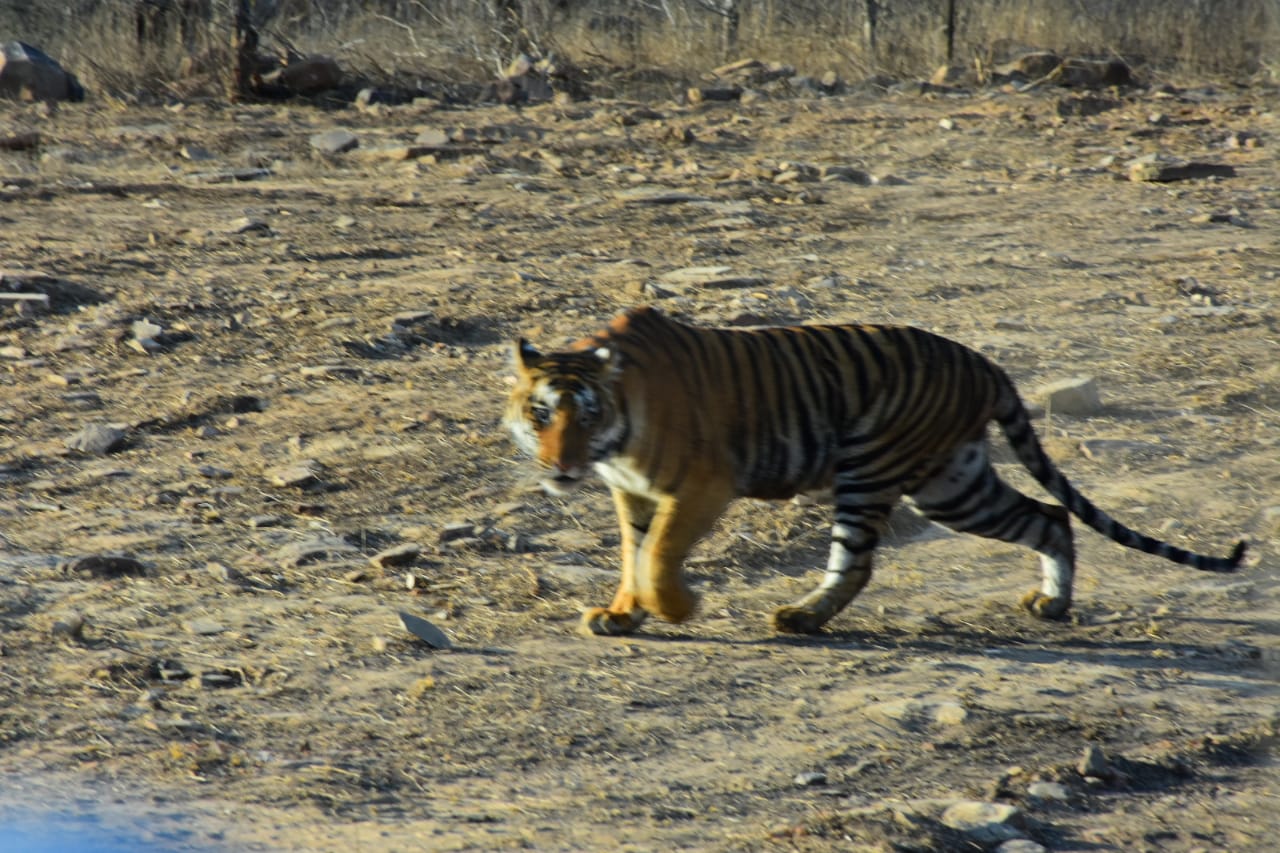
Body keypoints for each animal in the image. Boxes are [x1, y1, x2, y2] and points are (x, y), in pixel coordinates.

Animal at [504, 303, 1244, 630]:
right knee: (1049, 514)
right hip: (952, 482)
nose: (559, 464)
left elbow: (657, 555)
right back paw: (1052, 603)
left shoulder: (700, 487)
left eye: (584, 415)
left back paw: (802, 618)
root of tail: (984, 362)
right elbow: (633, 554)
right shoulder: (631, 493)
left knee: (856, 561)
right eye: (542, 413)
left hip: (877, 470)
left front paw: (678, 607)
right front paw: (621, 614)